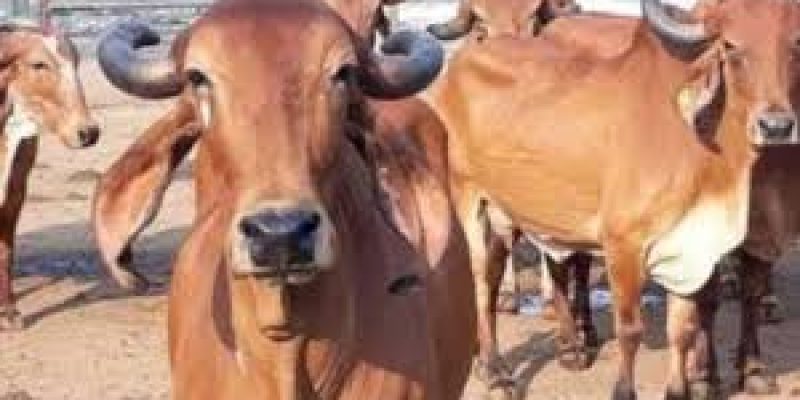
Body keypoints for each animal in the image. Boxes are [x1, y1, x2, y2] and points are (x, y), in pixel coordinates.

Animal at [0, 20, 99, 330]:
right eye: (38, 64)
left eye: (76, 62)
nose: (88, 132)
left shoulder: (16, 189)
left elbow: (5, 250)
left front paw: (9, 311)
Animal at [426, 0, 800, 398]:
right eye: (730, 46)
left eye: (797, 43)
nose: (776, 126)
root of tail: (456, 67)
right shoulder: (623, 245)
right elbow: (630, 329)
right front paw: (625, 389)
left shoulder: (689, 248)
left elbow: (682, 329)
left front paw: (680, 389)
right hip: (466, 201)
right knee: (480, 283)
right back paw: (497, 371)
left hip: (504, 213)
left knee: (494, 277)